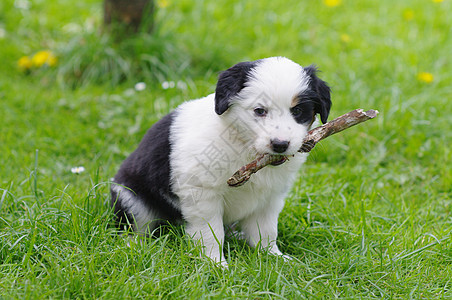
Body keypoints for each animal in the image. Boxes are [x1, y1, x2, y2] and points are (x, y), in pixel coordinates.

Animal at [112, 55, 332, 264]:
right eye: (260, 111)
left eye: (297, 111)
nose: (280, 144)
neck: (243, 146)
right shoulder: (201, 193)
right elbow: (211, 233)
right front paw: (215, 264)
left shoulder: (270, 196)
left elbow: (266, 230)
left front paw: (272, 256)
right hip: (131, 197)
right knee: (134, 226)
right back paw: (134, 247)